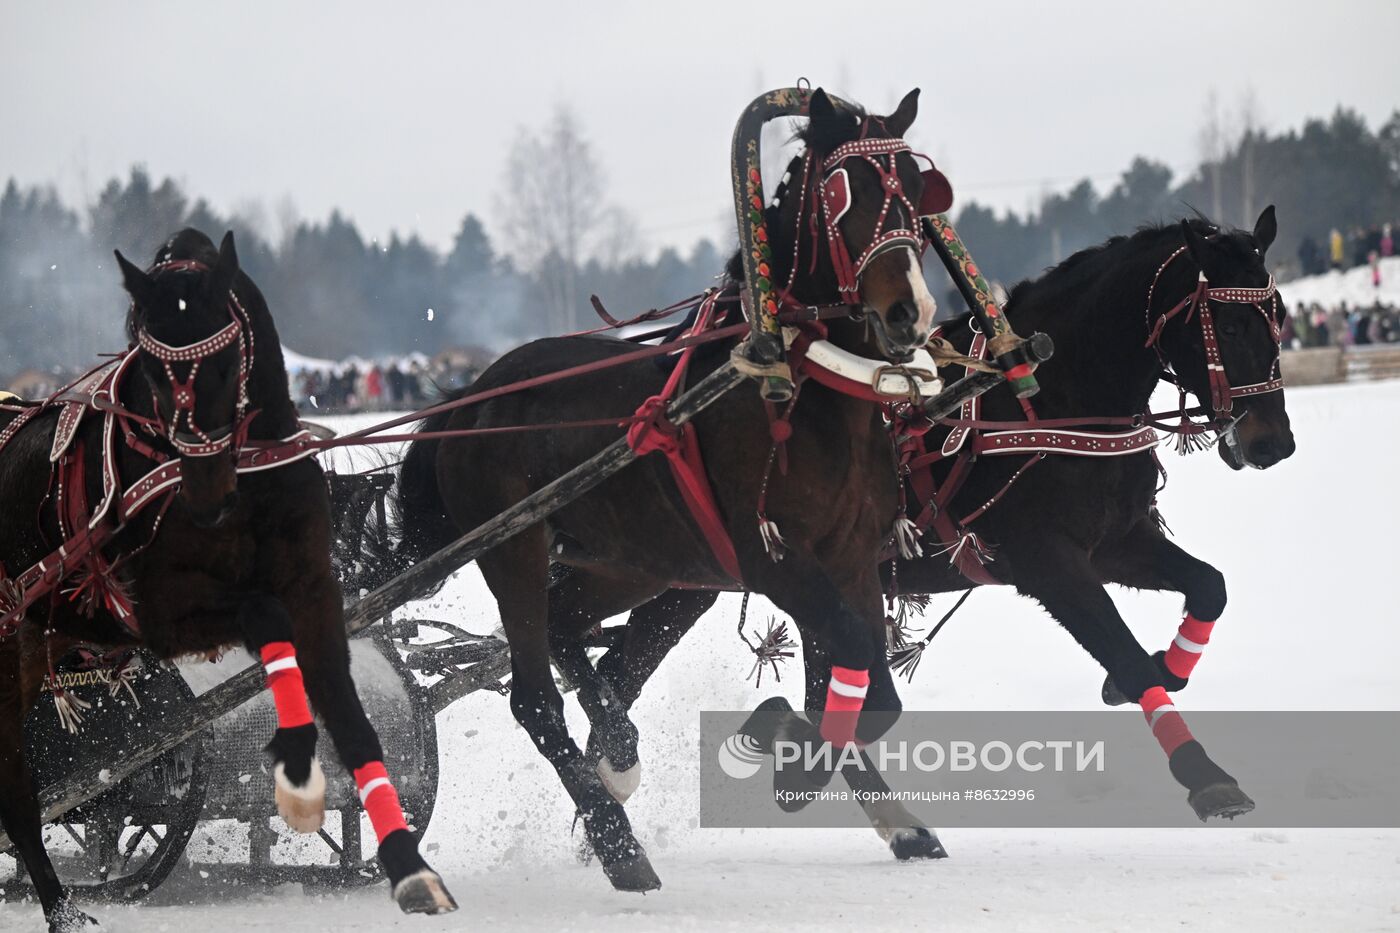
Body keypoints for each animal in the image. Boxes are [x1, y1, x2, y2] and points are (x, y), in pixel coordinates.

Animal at [0, 226, 453, 930]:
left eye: (230, 352)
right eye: (148, 365)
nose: (206, 489)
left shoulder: (314, 595)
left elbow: (350, 710)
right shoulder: (160, 614)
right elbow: (263, 624)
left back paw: (63, 905)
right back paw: (63, 903)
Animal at [394, 87, 940, 885]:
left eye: (920, 189)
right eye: (845, 193)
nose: (911, 313)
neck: (794, 387)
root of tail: (471, 396)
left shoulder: (851, 557)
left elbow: (870, 686)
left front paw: (891, 817)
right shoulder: (776, 561)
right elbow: (855, 670)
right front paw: (788, 750)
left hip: (627, 561)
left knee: (567, 629)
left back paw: (617, 747)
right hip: (515, 549)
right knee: (534, 699)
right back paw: (621, 845)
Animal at [576, 208, 1288, 823]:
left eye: (1278, 315)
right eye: (1226, 326)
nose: (1272, 442)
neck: (1045, 403)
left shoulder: (1119, 540)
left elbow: (1210, 588)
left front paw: (1168, 667)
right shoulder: (1048, 562)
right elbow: (1126, 655)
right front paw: (1203, 773)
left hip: (692, 581)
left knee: (616, 671)